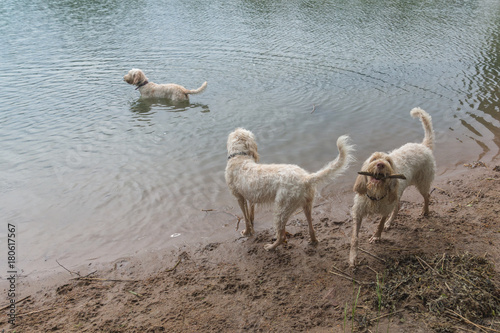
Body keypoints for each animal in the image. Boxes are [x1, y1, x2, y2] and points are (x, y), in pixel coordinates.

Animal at [225, 127, 354, 249]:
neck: (239, 157)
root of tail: (306, 178)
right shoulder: (250, 198)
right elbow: (250, 214)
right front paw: (251, 227)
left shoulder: (239, 198)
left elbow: (245, 217)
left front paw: (246, 232)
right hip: (306, 205)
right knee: (311, 227)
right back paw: (313, 241)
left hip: (281, 209)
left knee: (282, 236)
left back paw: (270, 247)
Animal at [350, 107, 436, 266]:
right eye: (374, 159)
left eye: (388, 161)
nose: (380, 164)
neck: (376, 194)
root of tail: (423, 145)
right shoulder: (358, 213)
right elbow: (355, 237)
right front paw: (353, 257)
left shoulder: (385, 209)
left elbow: (380, 223)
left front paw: (376, 236)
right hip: (398, 194)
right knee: (398, 206)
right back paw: (391, 222)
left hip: (422, 183)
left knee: (427, 196)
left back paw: (425, 211)